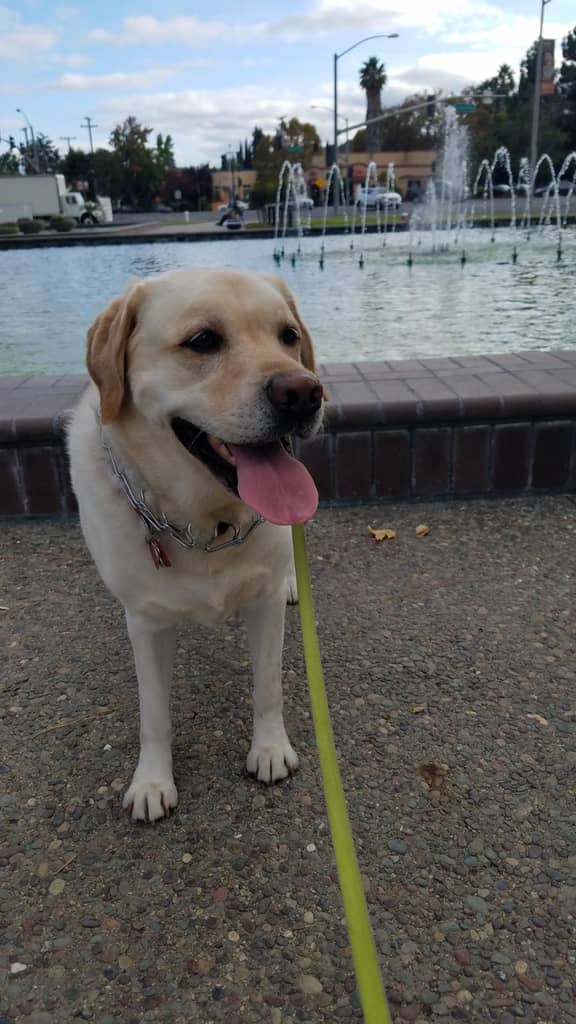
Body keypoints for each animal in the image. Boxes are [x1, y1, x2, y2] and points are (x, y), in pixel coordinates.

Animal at [68, 267, 324, 822]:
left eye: (288, 336)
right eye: (202, 340)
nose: (305, 393)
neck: (205, 523)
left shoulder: (264, 604)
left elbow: (268, 685)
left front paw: (270, 749)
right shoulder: (145, 622)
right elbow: (153, 713)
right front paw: (151, 780)